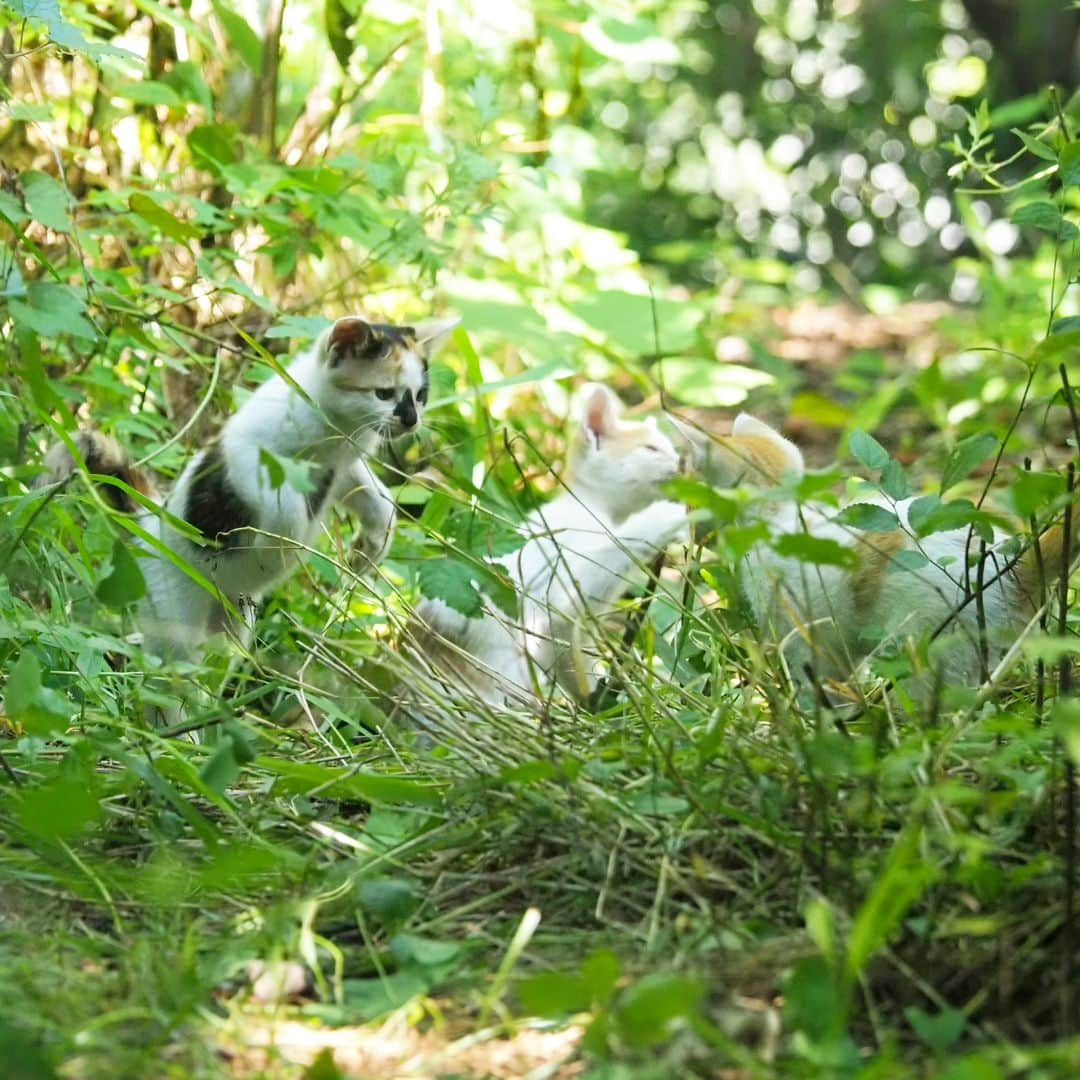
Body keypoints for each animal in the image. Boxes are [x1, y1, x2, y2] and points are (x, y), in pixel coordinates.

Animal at [39, 315, 455, 660]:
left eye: (420, 396)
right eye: (383, 393)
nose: (412, 420)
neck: (333, 432)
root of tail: (148, 526)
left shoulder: (342, 468)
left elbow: (378, 502)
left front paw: (368, 549)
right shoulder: (244, 452)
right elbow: (286, 507)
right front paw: (279, 548)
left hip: (232, 627)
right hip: (174, 616)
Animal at [408, 382, 686, 708]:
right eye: (651, 449)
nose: (682, 464)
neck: (596, 507)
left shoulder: (563, 633)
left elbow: (570, 660)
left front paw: (593, 703)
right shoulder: (559, 565)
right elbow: (608, 554)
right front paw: (666, 517)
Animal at [686, 412, 1067, 699]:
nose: (690, 527)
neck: (776, 514)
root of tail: (1014, 567)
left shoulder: (801, 631)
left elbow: (815, 685)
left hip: (929, 639)